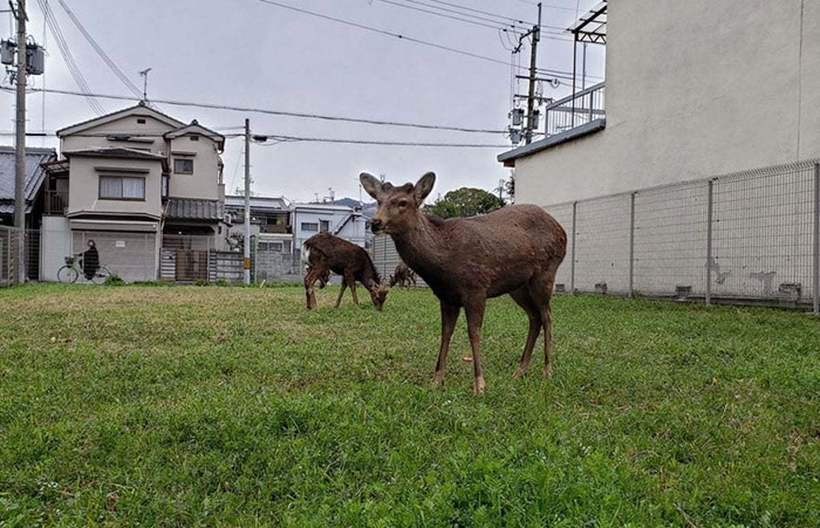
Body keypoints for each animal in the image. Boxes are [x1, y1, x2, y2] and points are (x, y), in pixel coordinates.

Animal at [362, 171, 568, 394]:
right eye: (378, 200)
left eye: (402, 202)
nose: (375, 222)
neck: (443, 264)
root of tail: (562, 231)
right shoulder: (446, 297)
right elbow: (445, 333)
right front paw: (436, 380)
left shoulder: (476, 287)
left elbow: (473, 332)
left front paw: (479, 385)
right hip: (519, 286)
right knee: (535, 317)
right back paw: (519, 372)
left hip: (546, 272)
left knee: (547, 316)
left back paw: (547, 371)